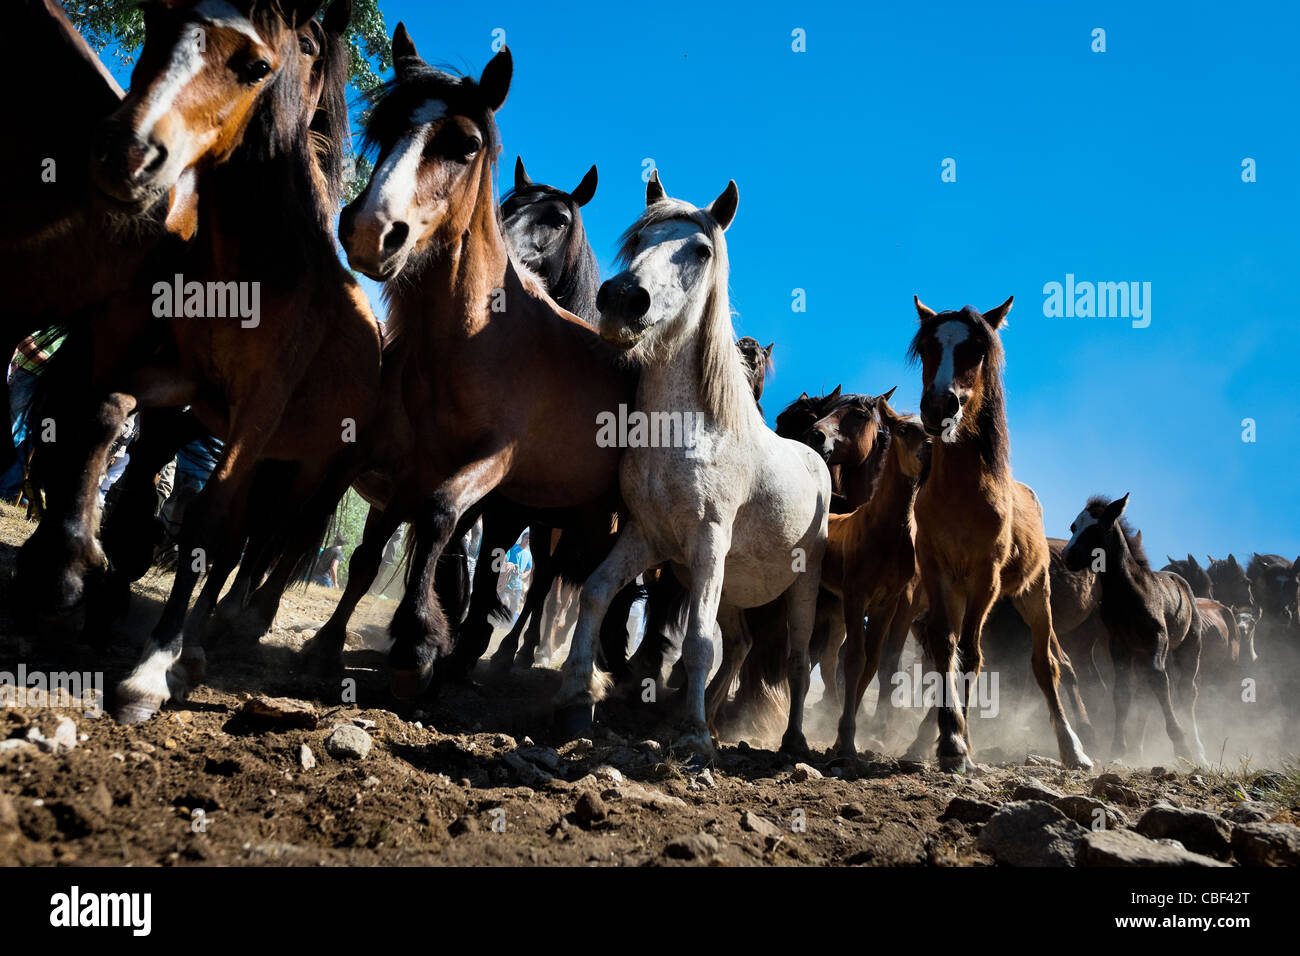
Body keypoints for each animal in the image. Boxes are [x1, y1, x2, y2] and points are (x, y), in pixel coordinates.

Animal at [553, 174, 826, 754]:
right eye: (638, 239)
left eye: (701, 250)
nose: (624, 299)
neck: (693, 432)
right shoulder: (648, 537)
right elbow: (596, 592)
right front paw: (576, 697)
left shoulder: (708, 543)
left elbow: (697, 642)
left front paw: (696, 736)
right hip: (733, 588)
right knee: (741, 645)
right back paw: (707, 711)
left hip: (801, 586)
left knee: (795, 661)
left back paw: (787, 740)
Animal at [909, 295, 1092, 775]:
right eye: (928, 347)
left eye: (976, 350)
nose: (939, 406)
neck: (960, 494)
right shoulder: (937, 573)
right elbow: (945, 647)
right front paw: (950, 738)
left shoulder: (985, 578)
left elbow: (973, 655)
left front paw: (960, 745)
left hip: (1034, 595)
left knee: (1047, 665)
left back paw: (1074, 749)